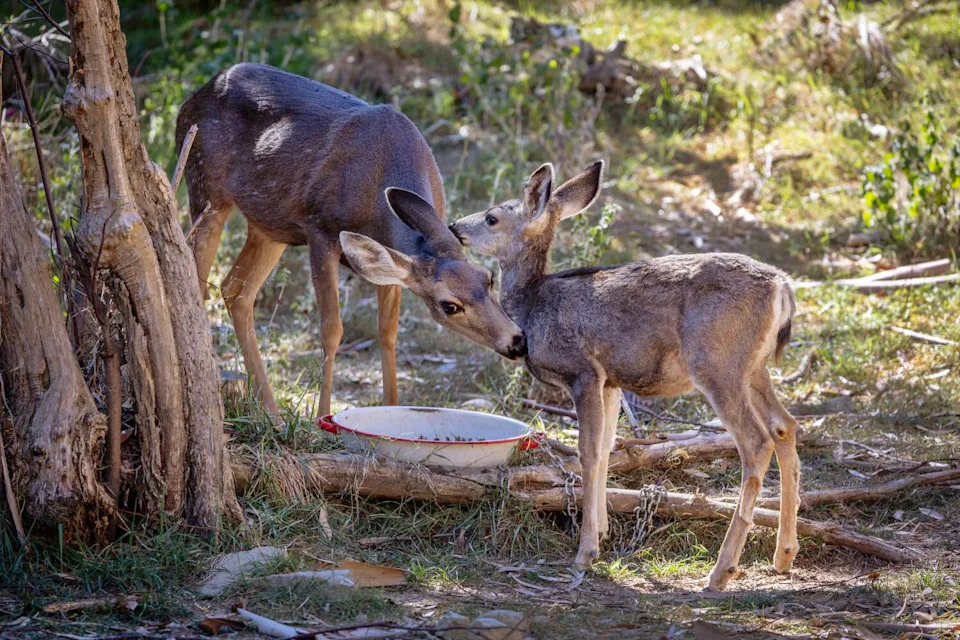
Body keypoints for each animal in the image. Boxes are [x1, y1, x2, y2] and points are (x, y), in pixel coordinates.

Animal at [175, 63, 527, 419]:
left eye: (488, 278)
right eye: (449, 305)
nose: (516, 341)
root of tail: (191, 100)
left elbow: (387, 332)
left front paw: (391, 409)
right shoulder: (320, 230)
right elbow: (332, 329)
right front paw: (322, 417)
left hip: (270, 225)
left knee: (236, 288)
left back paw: (271, 411)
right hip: (205, 187)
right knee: (196, 279)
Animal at [449, 161, 800, 591]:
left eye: (492, 217)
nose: (454, 227)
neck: (532, 308)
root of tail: (782, 286)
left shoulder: (582, 371)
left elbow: (586, 452)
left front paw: (585, 553)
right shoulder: (610, 381)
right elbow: (605, 450)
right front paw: (601, 534)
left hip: (717, 363)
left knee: (756, 442)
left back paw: (721, 572)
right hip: (754, 368)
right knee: (786, 426)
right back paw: (783, 555)